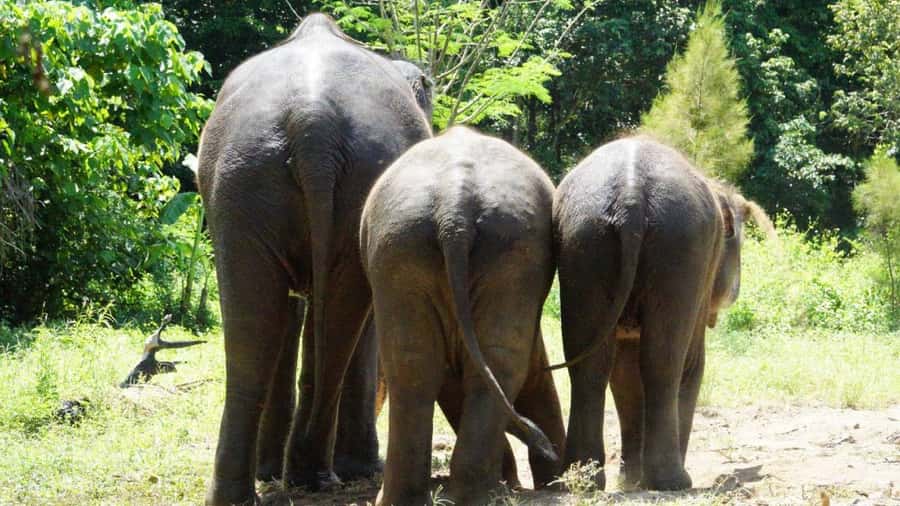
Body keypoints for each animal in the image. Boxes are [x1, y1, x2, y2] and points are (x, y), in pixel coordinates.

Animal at [196, 14, 432, 506]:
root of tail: (313, 123)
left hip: (240, 184)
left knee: (254, 327)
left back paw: (267, 483)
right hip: (337, 178)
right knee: (334, 320)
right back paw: (322, 474)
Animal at [360, 126, 565, 505]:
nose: (549, 450)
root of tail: (453, 208)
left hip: (407, 248)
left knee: (417, 364)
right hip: (460, 248)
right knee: (483, 364)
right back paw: (482, 492)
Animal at [550, 136, 773, 491]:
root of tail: (630, 197)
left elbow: (624, 372)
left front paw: (630, 482)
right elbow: (689, 362)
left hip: (583, 239)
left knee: (590, 363)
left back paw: (583, 481)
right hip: (681, 247)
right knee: (668, 362)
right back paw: (674, 480)